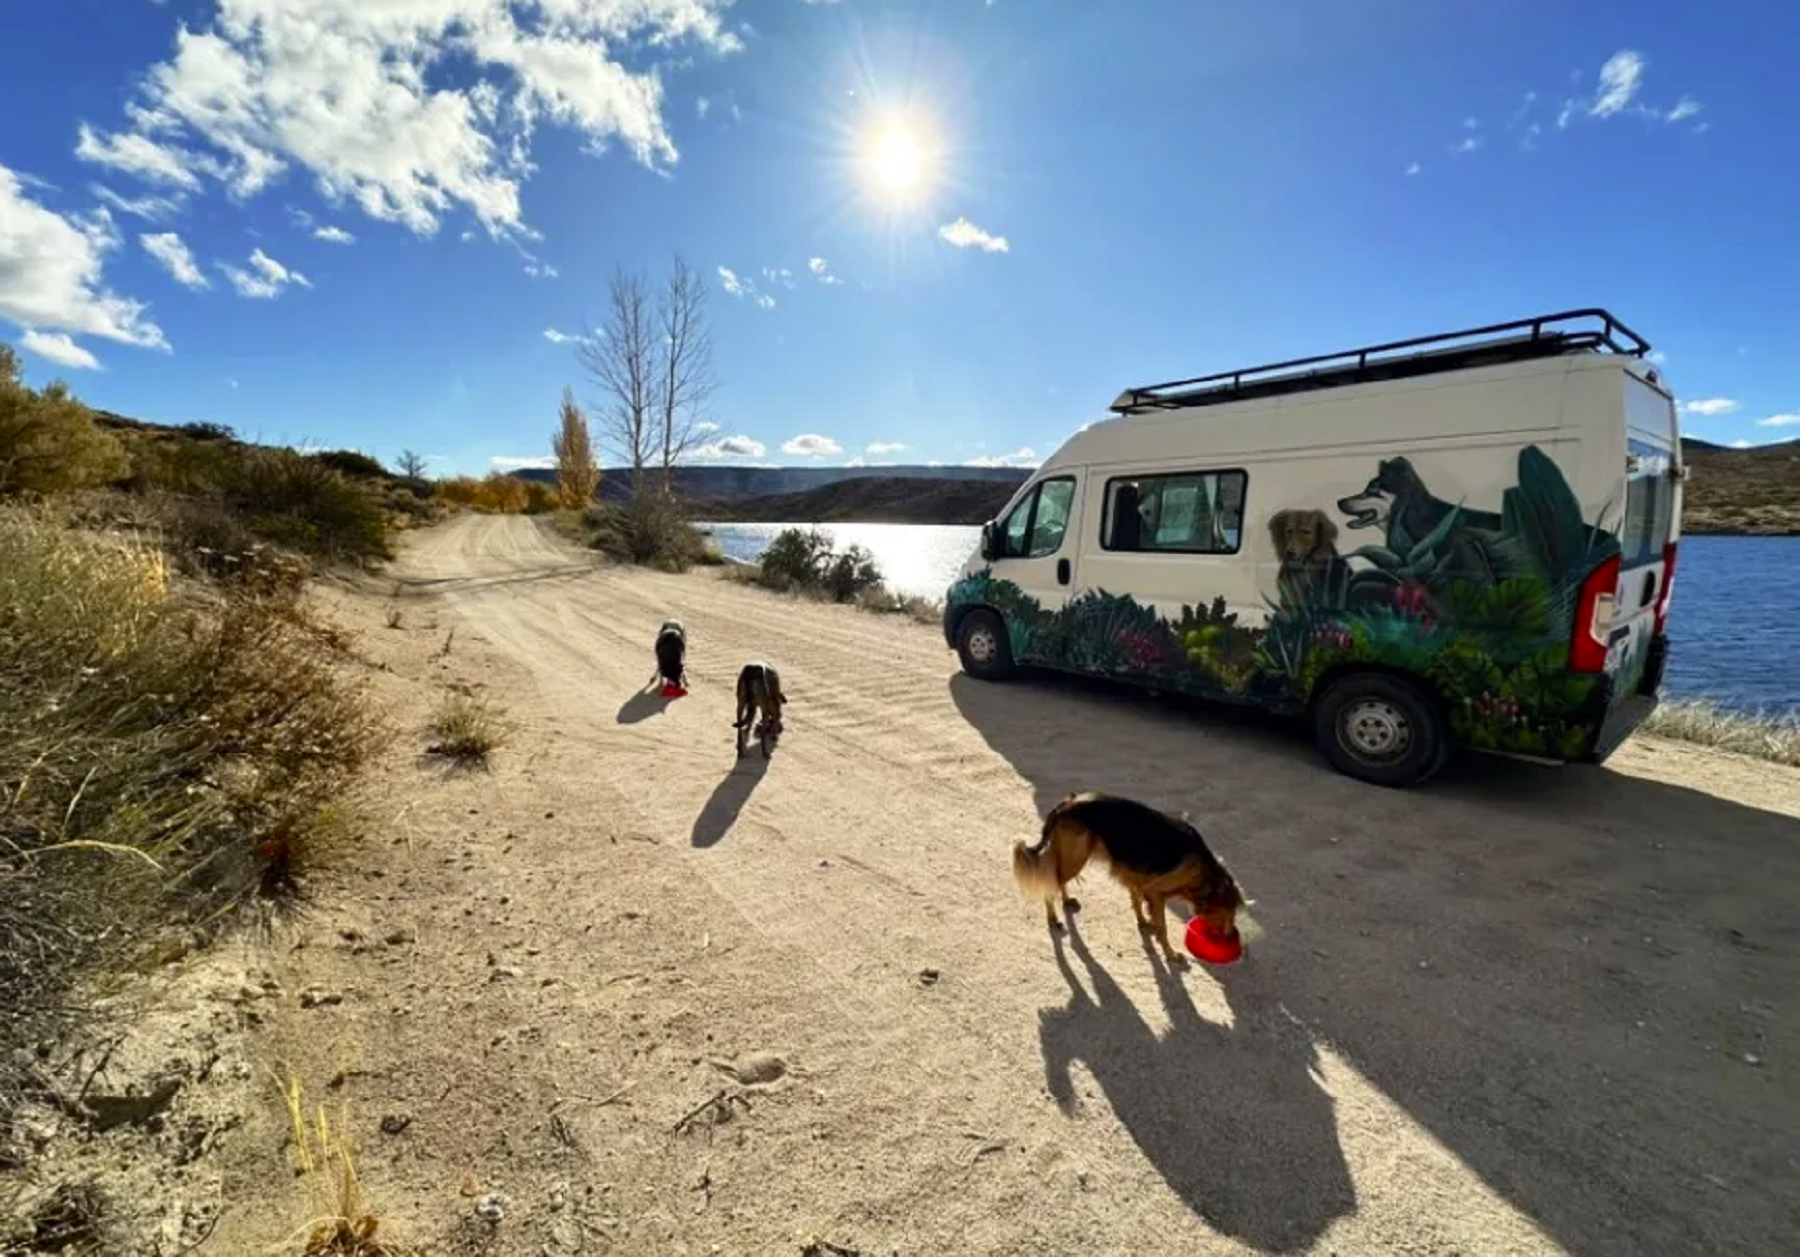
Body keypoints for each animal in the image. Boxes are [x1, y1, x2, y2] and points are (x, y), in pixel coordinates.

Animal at [1015, 792, 1252, 958]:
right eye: (1229, 913)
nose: (1233, 936)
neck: (1204, 871)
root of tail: (1067, 803)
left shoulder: (1137, 877)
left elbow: (1137, 901)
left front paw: (1144, 922)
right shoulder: (1156, 892)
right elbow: (1163, 926)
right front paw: (1170, 953)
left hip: (1072, 857)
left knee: (1059, 879)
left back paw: (1066, 900)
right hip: (1076, 857)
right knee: (1052, 883)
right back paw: (1053, 919)